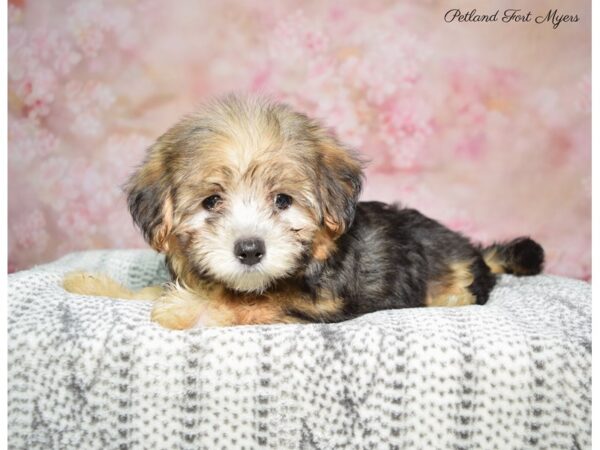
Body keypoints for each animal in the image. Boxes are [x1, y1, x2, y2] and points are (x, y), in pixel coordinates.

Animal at [63, 93, 548, 328]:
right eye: (211, 202)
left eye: (283, 201)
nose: (250, 250)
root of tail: (470, 249)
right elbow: (151, 291)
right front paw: (92, 285)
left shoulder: (320, 303)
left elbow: (252, 304)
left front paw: (185, 310)